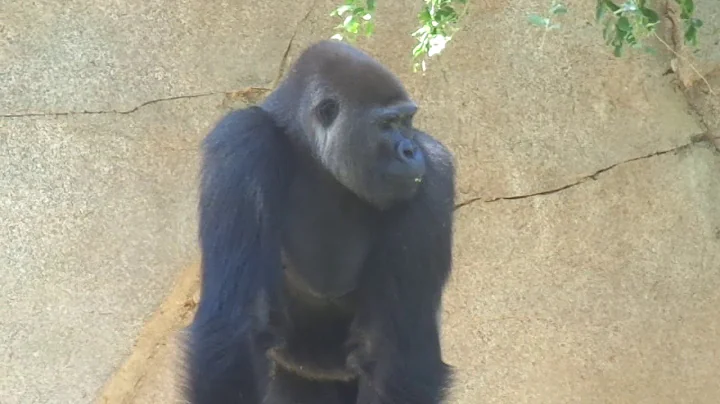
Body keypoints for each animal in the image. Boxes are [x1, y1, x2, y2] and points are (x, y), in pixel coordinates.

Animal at [183, 39, 456, 404]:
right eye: (387, 124)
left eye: (407, 120)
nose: (410, 151)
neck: (312, 156)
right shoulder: (242, 142)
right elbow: (236, 321)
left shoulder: (435, 171)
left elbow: (400, 352)